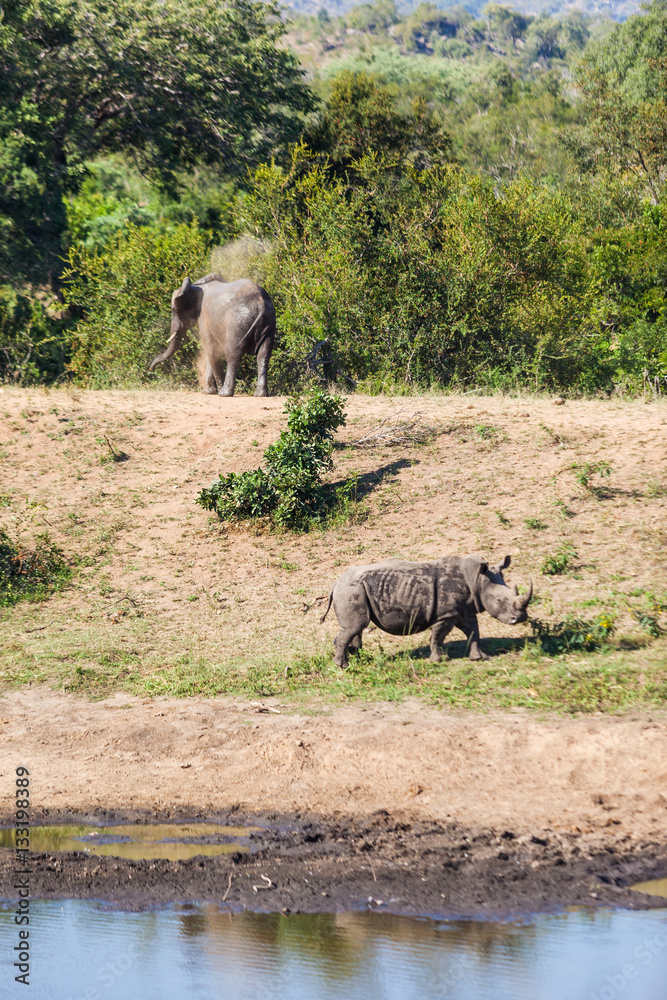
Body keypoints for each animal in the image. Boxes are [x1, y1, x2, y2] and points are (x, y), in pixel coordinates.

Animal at [320, 554, 532, 667]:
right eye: (499, 600)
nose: (521, 617)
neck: (477, 580)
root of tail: (336, 582)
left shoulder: (464, 610)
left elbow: (474, 632)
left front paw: (480, 658)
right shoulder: (446, 614)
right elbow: (438, 636)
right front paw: (438, 660)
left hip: (353, 590)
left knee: (357, 627)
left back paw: (358, 659)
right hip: (351, 590)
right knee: (355, 626)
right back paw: (343, 666)